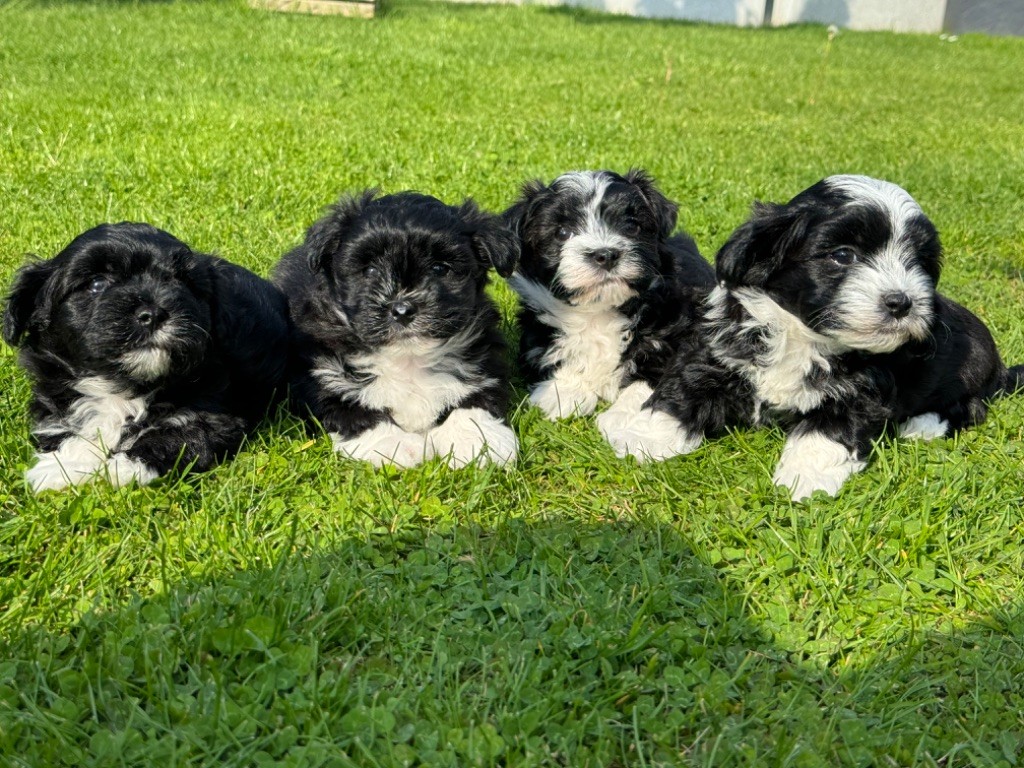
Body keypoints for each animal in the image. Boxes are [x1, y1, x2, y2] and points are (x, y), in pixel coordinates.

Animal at [4, 222, 292, 493]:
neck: (122, 385)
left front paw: (125, 466)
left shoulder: (215, 414)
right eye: (97, 284)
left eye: (183, 283)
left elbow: (178, 435)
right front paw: (63, 466)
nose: (153, 313)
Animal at [274, 191, 520, 468]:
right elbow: (354, 409)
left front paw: (478, 440)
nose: (402, 309)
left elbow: (474, 400)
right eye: (370, 270)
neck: (408, 356)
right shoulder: (322, 374)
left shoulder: (484, 360)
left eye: (439, 268)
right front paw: (393, 444)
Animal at [501, 168, 712, 430]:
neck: (598, 309)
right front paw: (565, 391)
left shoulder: (678, 333)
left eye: (631, 227)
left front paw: (625, 416)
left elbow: (658, 373)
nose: (606, 254)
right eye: (562, 233)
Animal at [598, 178, 1024, 505]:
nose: (902, 302)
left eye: (918, 264)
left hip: (972, 370)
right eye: (843, 255)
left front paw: (805, 477)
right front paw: (641, 439)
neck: (804, 335)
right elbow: (682, 393)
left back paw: (922, 425)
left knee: (970, 407)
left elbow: (827, 431)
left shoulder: (861, 392)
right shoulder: (719, 351)